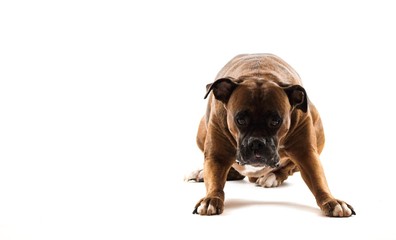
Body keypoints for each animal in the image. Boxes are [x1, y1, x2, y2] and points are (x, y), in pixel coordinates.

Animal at [188, 53, 356, 217]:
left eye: (276, 121)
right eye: (240, 119)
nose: (256, 142)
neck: (258, 73)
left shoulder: (306, 153)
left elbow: (318, 180)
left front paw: (331, 201)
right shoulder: (217, 155)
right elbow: (215, 180)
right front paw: (211, 199)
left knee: (288, 168)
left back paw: (273, 176)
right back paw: (202, 173)